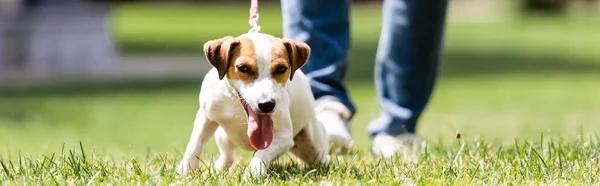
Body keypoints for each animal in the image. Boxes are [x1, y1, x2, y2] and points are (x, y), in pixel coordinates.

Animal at [176, 32, 346, 177]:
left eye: (281, 69)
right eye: (243, 68)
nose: (267, 105)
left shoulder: (284, 137)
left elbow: (262, 153)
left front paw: (253, 172)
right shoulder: (205, 116)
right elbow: (195, 143)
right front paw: (185, 170)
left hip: (314, 147)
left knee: (322, 158)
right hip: (223, 136)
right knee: (227, 156)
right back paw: (217, 170)